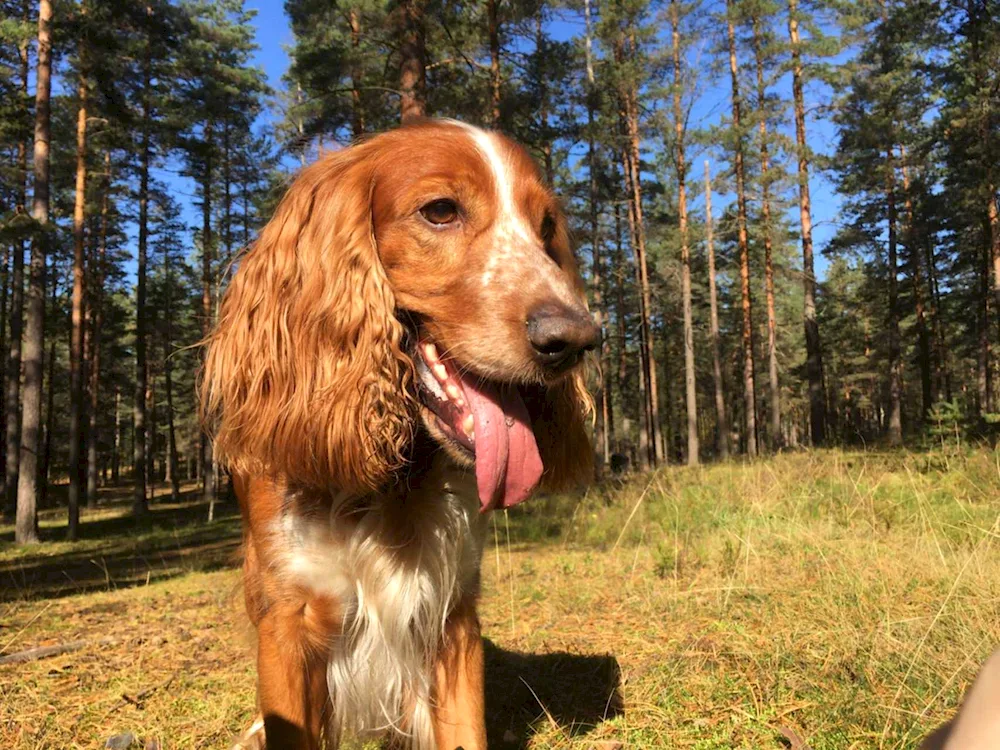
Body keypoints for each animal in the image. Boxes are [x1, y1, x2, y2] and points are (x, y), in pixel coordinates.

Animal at [199, 120, 596, 748]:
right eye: (440, 211)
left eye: (547, 227)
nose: (579, 338)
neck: (390, 485)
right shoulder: (287, 623)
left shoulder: (453, 613)